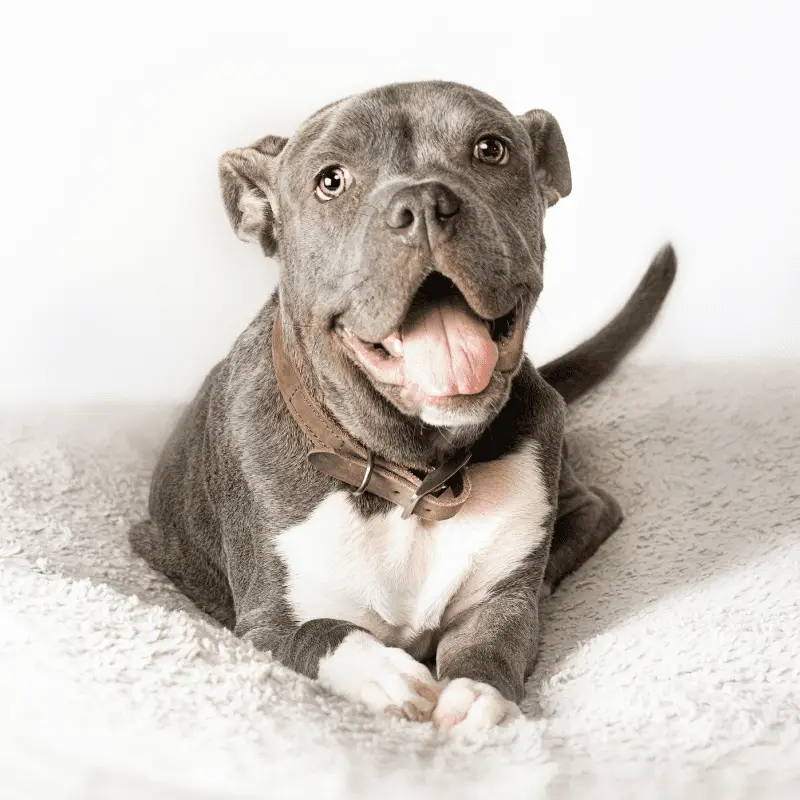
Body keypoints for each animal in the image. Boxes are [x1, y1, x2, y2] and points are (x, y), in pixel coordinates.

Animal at [130, 79, 676, 732]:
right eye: (331, 180)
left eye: (490, 149)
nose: (424, 204)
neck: (414, 479)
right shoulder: (262, 628)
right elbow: (320, 632)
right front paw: (381, 673)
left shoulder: (499, 603)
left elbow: (493, 639)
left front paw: (478, 692)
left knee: (594, 509)